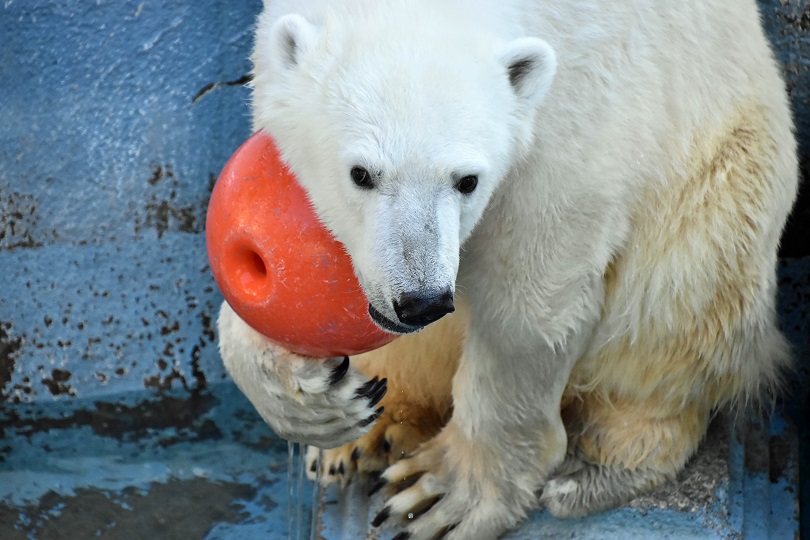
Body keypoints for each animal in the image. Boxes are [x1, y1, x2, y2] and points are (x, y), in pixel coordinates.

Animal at [218, 0, 800, 536]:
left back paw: (597, 468)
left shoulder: (575, 119)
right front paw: (308, 399)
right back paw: (367, 433)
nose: (420, 300)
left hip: (720, 190)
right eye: (362, 173)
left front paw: (444, 495)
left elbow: (531, 299)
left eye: (467, 180)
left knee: (671, 306)